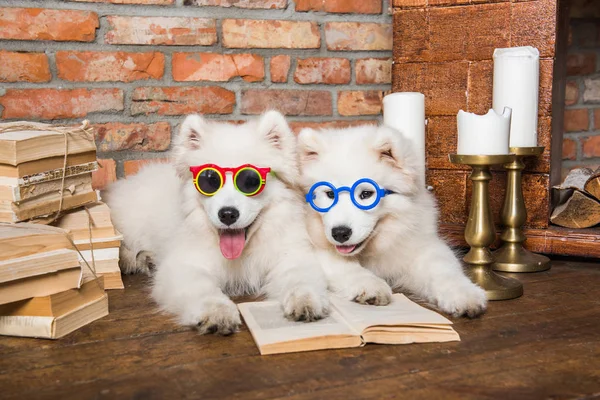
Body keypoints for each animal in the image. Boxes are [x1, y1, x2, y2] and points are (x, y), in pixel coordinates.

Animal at [296, 125, 488, 318]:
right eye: (330, 194)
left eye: (366, 194)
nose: (340, 233)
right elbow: (346, 266)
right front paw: (371, 285)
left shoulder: (421, 246)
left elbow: (443, 267)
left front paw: (463, 294)